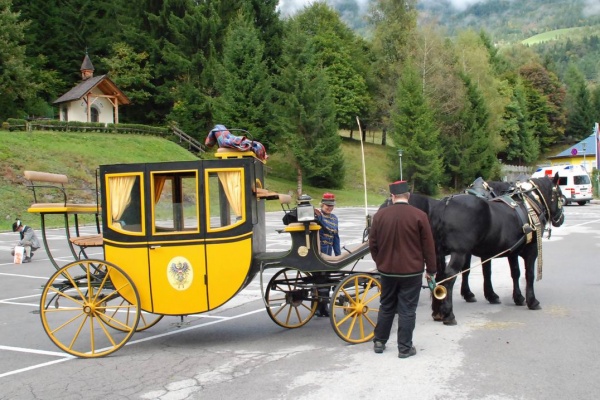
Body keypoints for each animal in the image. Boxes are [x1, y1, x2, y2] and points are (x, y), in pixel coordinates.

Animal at [432, 175, 564, 324]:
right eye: (560, 195)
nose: (561, 218)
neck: (529, 204)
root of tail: (446, 203)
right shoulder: (532, 250)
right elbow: (529, 274)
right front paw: (532, 301)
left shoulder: (512, 252)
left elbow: (515, 273)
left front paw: (518, 297)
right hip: (459, 253)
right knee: (449, 277)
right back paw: (449, 314)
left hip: (438, 252)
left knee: (438, 278)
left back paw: (438, 312)